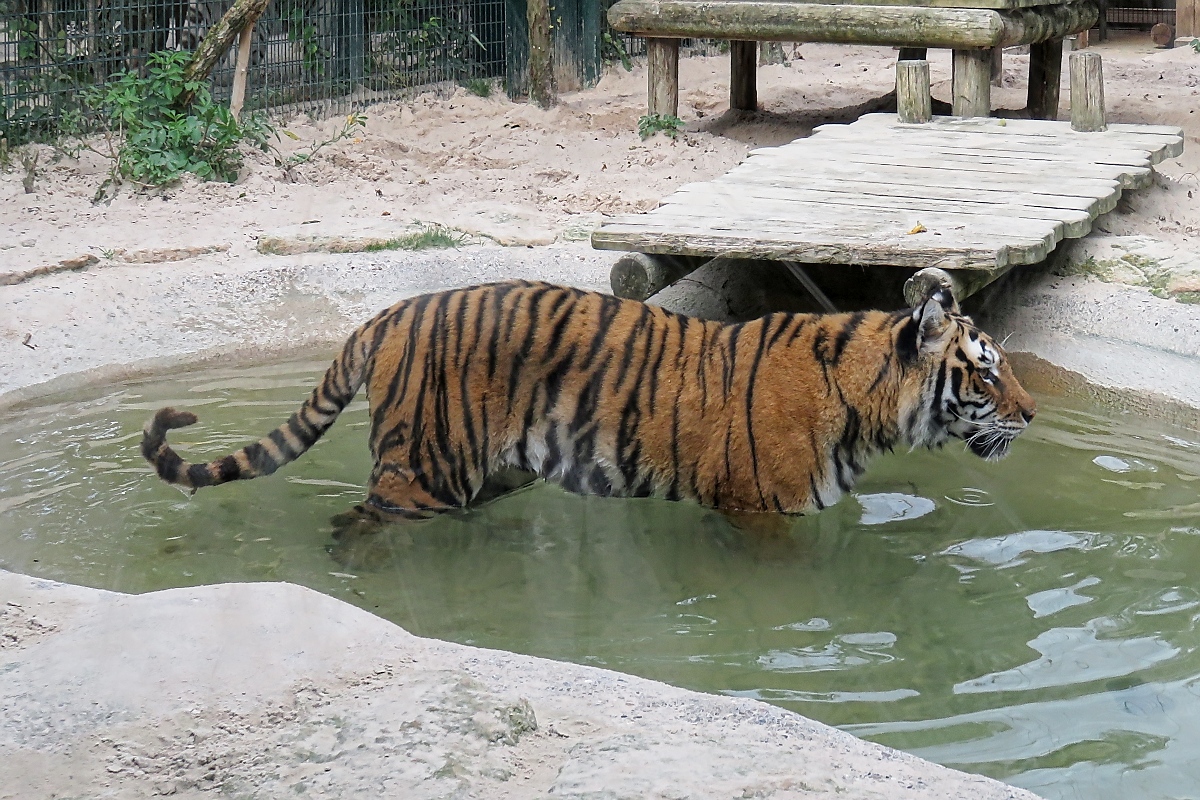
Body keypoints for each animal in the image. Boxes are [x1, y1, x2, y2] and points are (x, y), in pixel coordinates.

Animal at [145, 278, 1036, 522]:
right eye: (987, 374)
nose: (1032, 415)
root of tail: (389, 311)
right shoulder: (763, 516)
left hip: (485, 472)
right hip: (419, 474)